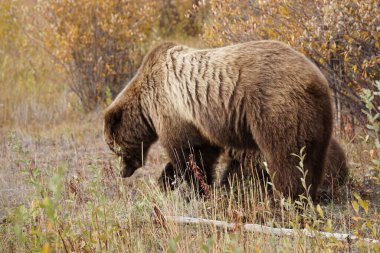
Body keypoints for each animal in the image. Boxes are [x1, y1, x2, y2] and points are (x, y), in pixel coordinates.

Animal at [104, 40, 332, 201]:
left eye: (114, 148)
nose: (123, 173)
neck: (146, 106)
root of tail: (317, 79)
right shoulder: (198, 123)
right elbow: (201, 152)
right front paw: (166, 182)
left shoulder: (173, 109)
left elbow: (189, 156)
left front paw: (199, 190)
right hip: (316, 119)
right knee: (312, 156)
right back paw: (309, 193)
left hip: (275, 108)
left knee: (287, 156)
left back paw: (289, 197)